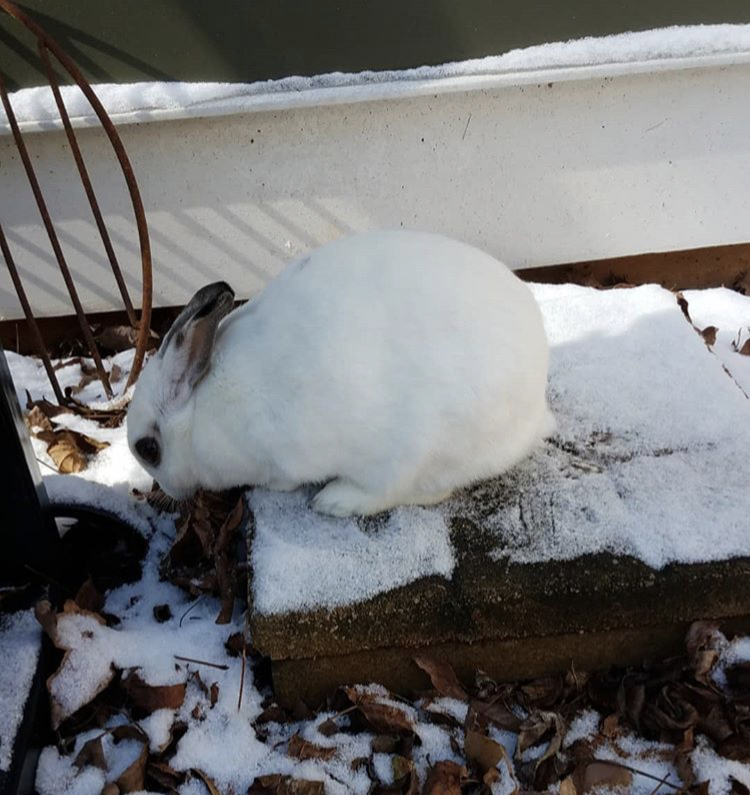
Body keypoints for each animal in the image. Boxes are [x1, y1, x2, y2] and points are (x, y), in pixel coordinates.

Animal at [128, 230, 552, 516]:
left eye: (149, 449)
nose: (165, 493)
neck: (201, 409)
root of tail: (536, 412)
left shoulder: (283, 456)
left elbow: (283, 479)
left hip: (416, 451)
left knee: (415, 491)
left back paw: (335, 501)